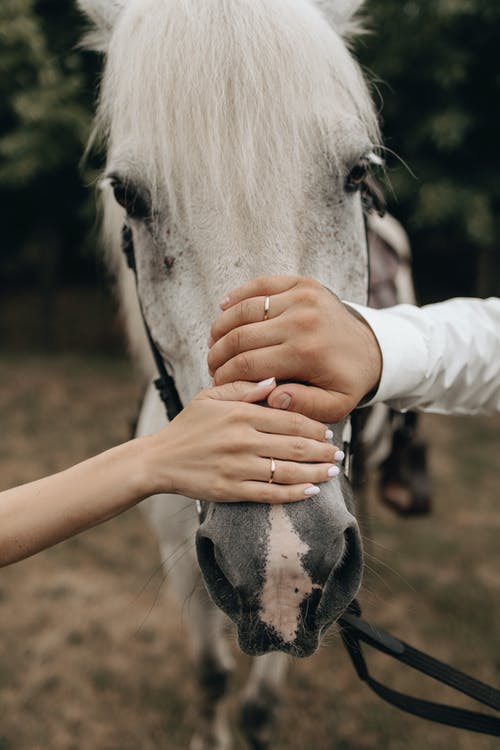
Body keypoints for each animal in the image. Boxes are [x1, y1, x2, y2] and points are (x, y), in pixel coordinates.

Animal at [79, 2, 378, 748]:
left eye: (357, 174)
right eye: (128, 195)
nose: (280, 561)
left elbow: (259, 707)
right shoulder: (181, 563)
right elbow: (212, 676)